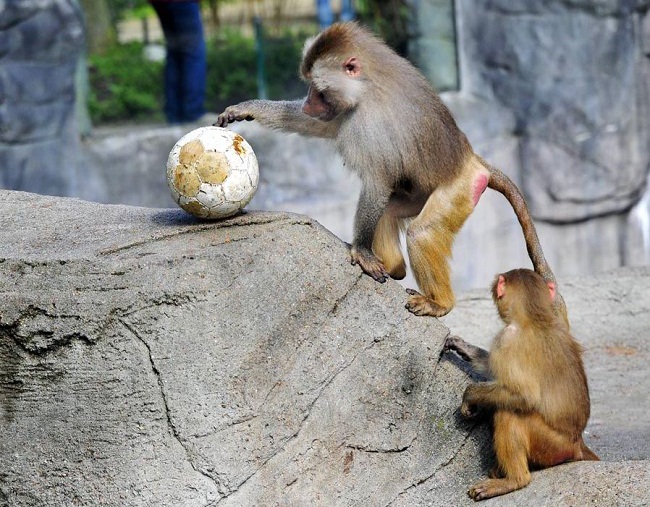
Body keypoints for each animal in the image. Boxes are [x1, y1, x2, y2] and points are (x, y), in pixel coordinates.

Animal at [216, 22, 567, 322]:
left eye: (317, 88)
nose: (307, 104)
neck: (367, 84)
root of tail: (471, 160)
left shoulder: (368, 123)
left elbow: (377, 181)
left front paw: (361, 252)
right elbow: (313, 125)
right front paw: (246, 109)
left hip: (460, 190)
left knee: (421, 233)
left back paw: (439, 303)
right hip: (419, 193)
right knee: (389, 211)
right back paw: (395, 268)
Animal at [443, 268, 598, 501]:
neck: (535, 317)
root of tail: (577, 443)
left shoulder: (506, 338)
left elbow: (524, 396)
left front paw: (469, 396)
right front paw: (463, 347)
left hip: (552, 445)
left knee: (508, 413)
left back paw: (514, 480)